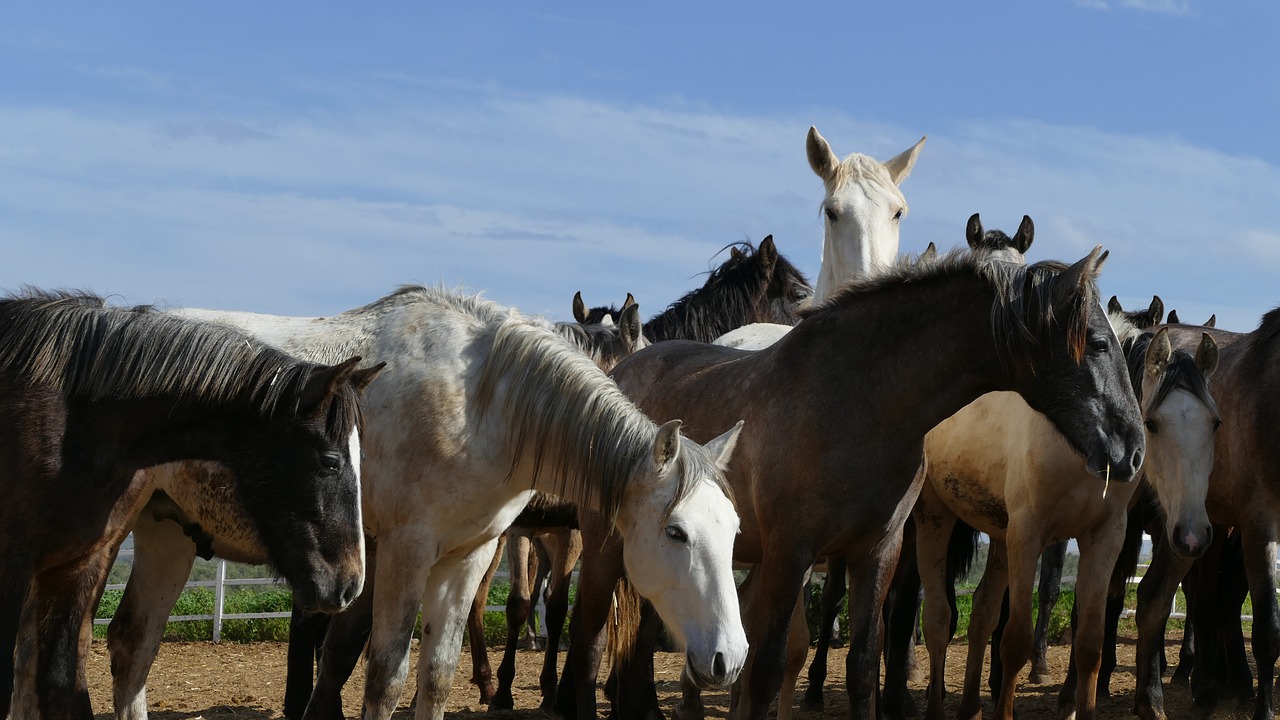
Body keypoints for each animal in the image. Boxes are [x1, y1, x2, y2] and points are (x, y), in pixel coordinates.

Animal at [0, 286, 378, 717]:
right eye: (330, 461)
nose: (350, 584)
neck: (72, 423)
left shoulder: (77, 566)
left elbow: (64, 685)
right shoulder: (12, 567)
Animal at [102, 285, 747, 717]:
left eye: (734, 530)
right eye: (676, 532)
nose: (730, 658)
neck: (479, 402)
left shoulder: (469, 553)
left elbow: (435, 676)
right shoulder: (405, 551)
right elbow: (385, 676)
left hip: (169, 530)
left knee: (133, 642)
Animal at [565, 243, 1146, 712]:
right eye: (1097, 342)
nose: (1134, 448)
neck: (863, 403)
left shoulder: (878, 552)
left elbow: (864, 667)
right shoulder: (791, 554)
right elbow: (766, 669)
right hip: (604, 552)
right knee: (588, 646)